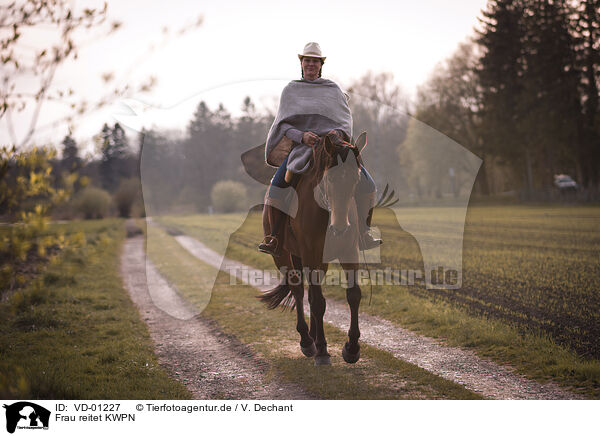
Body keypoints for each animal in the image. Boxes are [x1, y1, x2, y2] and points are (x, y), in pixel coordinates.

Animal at [258, 131, 366, 366]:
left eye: (356, 179)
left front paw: (352, 348)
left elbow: (353, 295)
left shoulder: (349, 253)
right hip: (284, 256)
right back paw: (308, 341)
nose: (341, 228)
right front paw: (323, 350)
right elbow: (317, 302)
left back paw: (315, 338)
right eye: (330, 178)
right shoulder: (310, 254)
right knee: (299, 291)